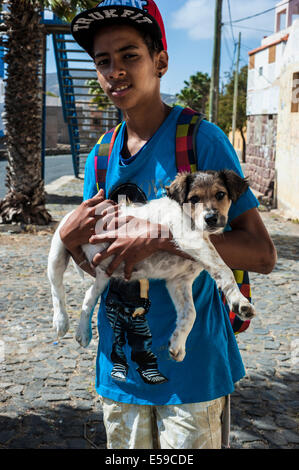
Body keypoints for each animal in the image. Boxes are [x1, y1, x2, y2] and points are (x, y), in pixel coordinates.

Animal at [48, 170, 256, 364]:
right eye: (194, 199)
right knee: (56, 288)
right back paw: (61, 321)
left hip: (103, 275)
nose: (211, 218)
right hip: (58, 251)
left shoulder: (178, 281)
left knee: (89, 295)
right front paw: (240, 302)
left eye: (220, 194)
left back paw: (83, 332)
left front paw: (177, 344)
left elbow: (190, 313)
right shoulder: (190, 239)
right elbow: (224, 270)